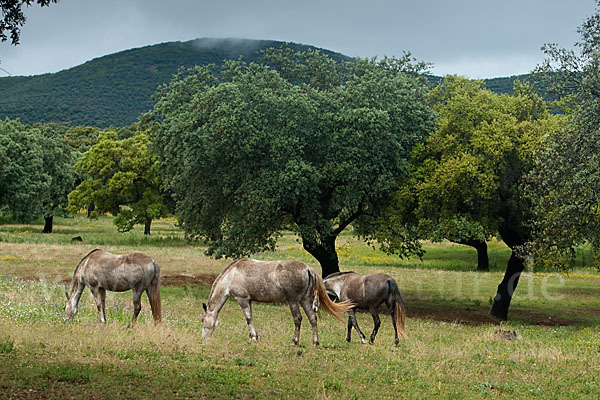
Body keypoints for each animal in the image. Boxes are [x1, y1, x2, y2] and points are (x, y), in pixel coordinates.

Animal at [202, 258, 352, 346]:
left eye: (202, 321)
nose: (204, 339)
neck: (232, 275)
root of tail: (307, 268)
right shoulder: (249, 301)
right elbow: (251, 318)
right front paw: (253, 337)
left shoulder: (242, 299)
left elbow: (248, 319)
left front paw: (253, 338)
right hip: (304, 301)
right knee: (312, 318)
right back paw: (315, 342)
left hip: (293, 301)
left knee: (298, 319)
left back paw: (294, 342)